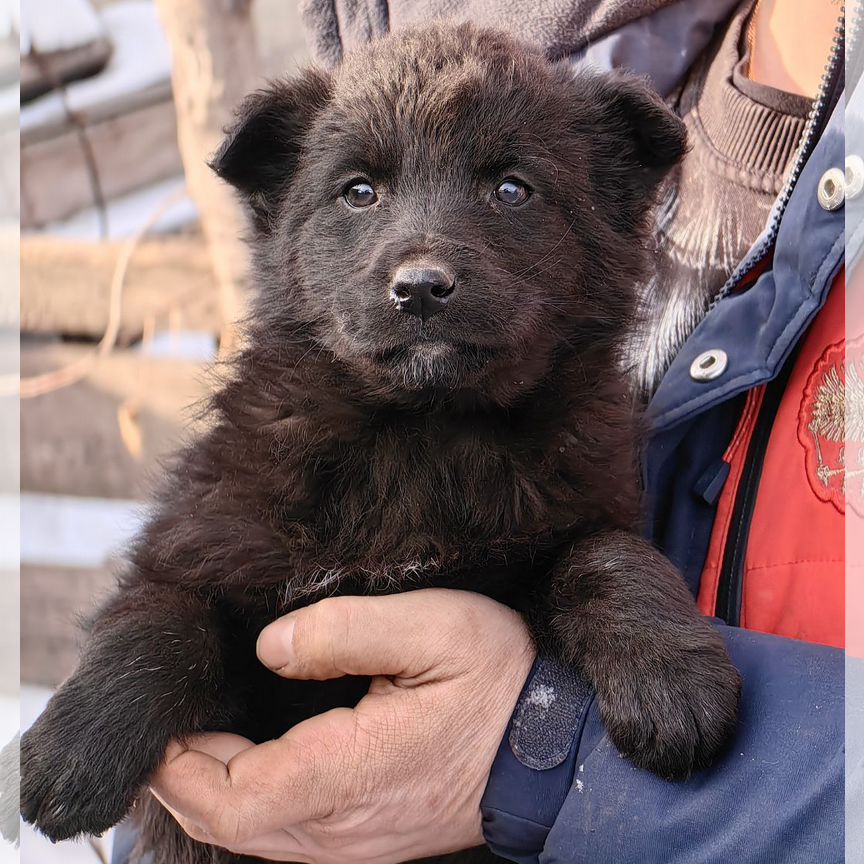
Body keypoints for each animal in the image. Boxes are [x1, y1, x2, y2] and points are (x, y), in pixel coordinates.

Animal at [20, 23, 740, 860]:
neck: (419, 435)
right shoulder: (206, 536)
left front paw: (675, 681)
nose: (421, 288)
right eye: (359, 191)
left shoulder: (577, 503)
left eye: (513, 189)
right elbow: (161, 613)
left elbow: (604, 552)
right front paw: (73, 749)